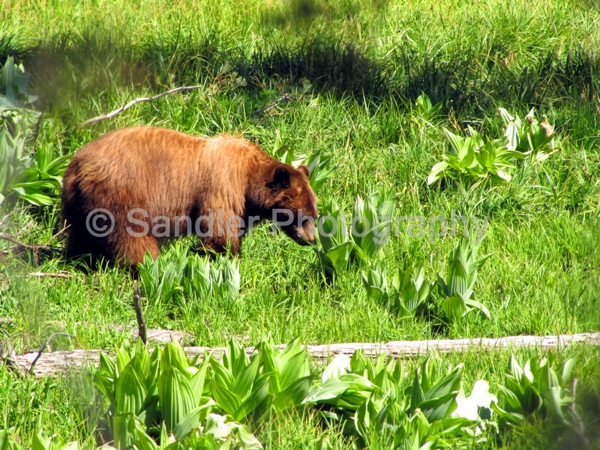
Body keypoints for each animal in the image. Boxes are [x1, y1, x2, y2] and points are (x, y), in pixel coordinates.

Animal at [62, 125, 318, 268]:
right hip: (123, 194)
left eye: (314, 214)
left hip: (80, 202)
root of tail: (78, 166)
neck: (249, 177)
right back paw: (146, 264)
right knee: (131, 234)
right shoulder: (223, 185)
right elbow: (218, 228)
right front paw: (227, 257)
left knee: (81, 232)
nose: (312, 240)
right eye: (304, 216)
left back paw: (80, 260)